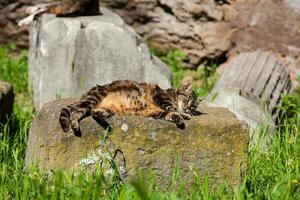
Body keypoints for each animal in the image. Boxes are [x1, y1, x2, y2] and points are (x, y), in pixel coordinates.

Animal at [58, 80, 200, 136]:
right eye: (187, 99)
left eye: (193, 105)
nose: (188, 108)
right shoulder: (161, 97)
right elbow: (172, 109)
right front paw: (184, 115)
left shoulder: (153, 112)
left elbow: (167, 114)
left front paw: (180, 117)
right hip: (92, 100)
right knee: (75, 112)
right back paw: (75, 126)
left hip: (107, 108)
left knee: (92, 113)